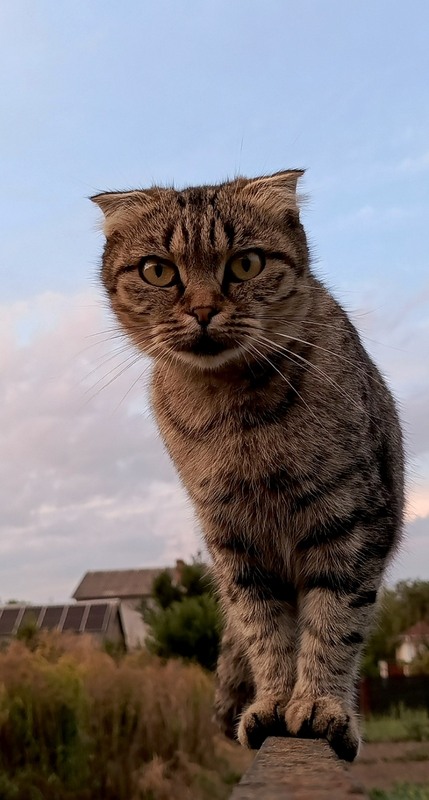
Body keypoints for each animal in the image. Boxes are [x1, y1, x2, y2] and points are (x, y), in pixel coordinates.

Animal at [92, 172, 402, 760]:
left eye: (246, 264)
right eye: (157, 270)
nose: (203, 310)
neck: (233, 410)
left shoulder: (350, 519)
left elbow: (336, 621)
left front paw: (321, 705)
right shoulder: (233, 541)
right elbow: (264, 629)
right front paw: (275, 702)